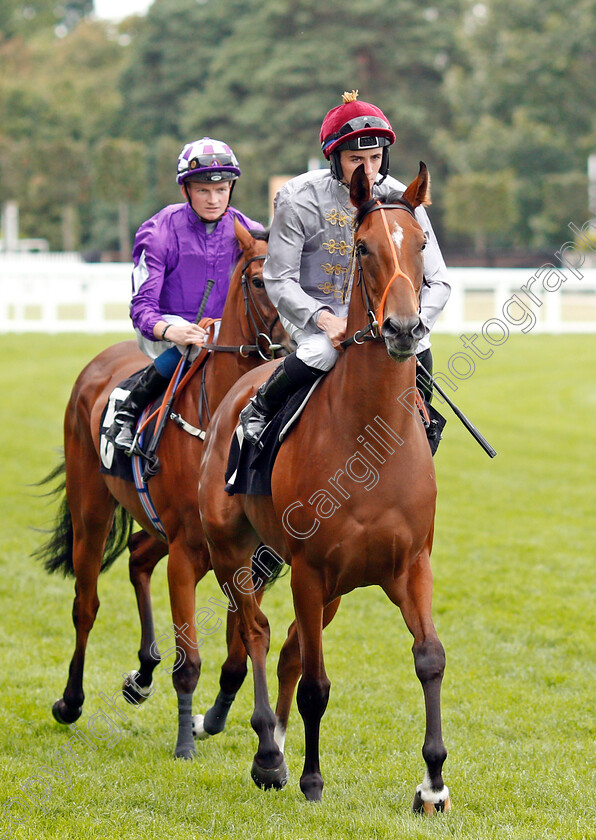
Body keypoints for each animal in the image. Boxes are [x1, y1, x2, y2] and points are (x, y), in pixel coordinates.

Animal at [35, 220, 292, 756]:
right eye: (261, 281)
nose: (295, 345)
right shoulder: (188, 553)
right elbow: (189, 659)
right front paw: (185, 743)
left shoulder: (247, 557)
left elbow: (239, 647)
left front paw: (212, 718)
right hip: (92, 511)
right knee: (85, 604)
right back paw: (71, 701)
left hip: (156, 528)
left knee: (136, 556)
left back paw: (144, 671)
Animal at [198, 161, 450, 812]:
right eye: (363, 247)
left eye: (421, 244)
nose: (404, 328)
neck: (369, 440)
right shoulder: (310, 570)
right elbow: (316, 684)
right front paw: (311, 778)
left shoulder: (410, 564)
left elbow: (430, 659)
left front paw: (434, 783)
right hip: (231, 549)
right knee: (257, 632)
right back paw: (269, 754)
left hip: (331, 587)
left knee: (285, 643)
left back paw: (279, 745)